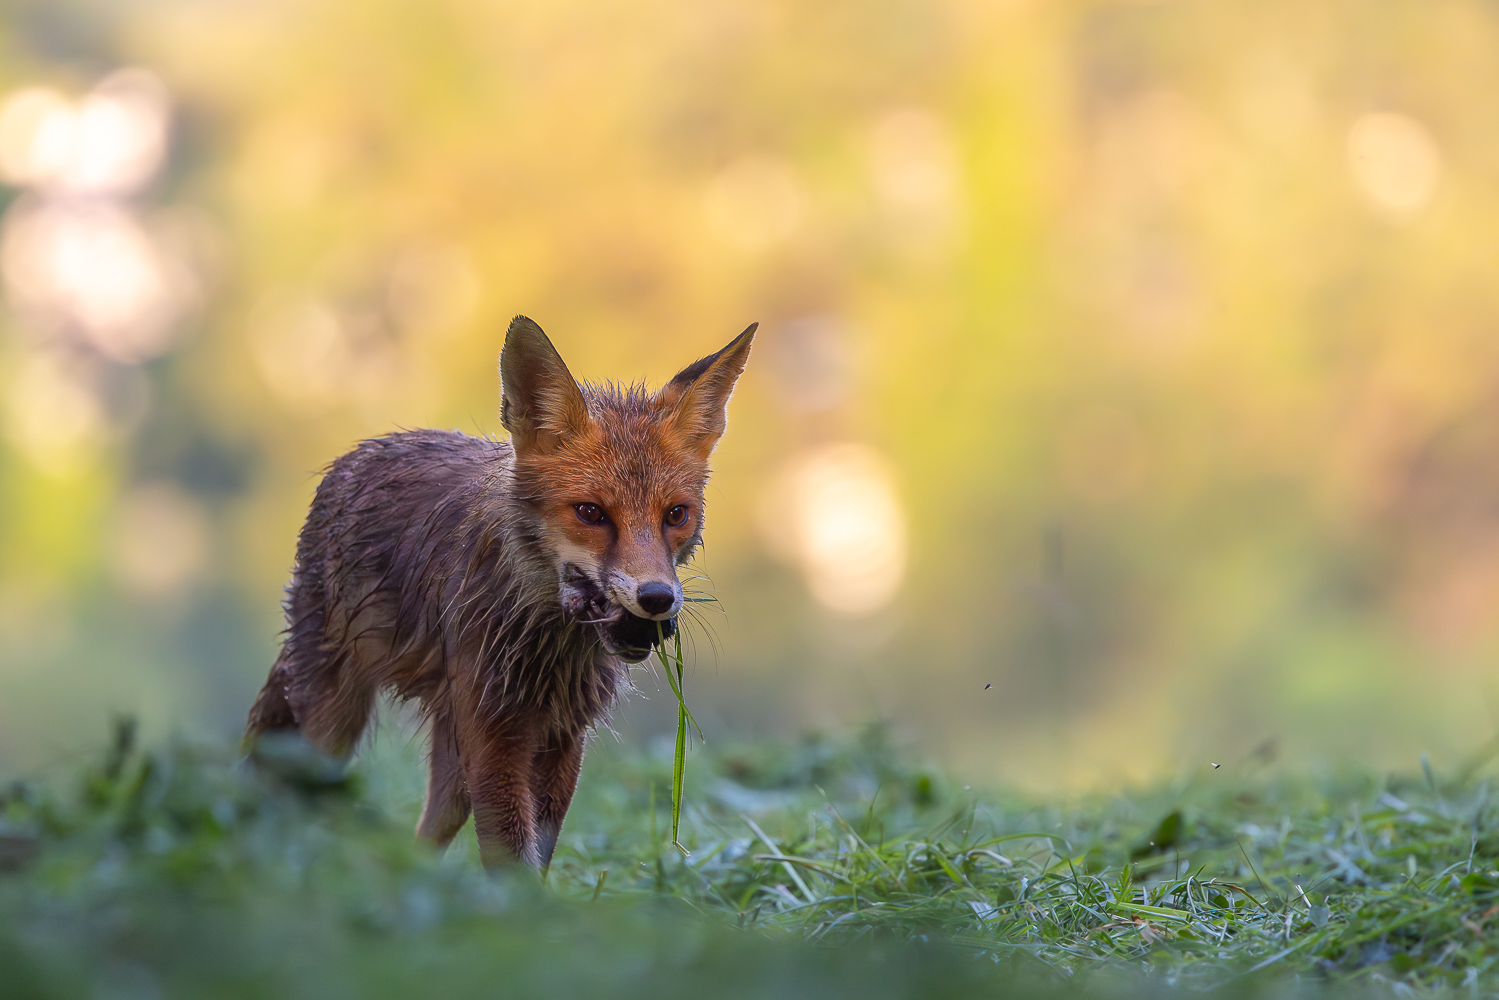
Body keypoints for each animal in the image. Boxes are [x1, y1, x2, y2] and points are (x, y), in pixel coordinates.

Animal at [250, 314, 755, 869]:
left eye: (676, 515)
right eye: (591, 513)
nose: (657, 598)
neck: (547, 647)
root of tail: (361, 451)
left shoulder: (562, 734)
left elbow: (536, 852)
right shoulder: (493, 727)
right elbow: (512, 854)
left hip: (452, 755)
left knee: (429, 830)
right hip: (335, 723)